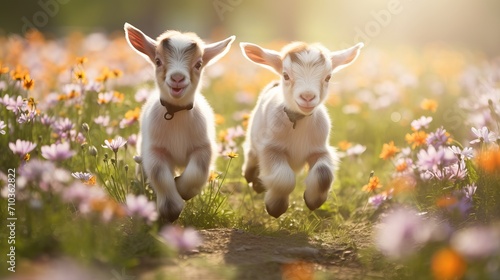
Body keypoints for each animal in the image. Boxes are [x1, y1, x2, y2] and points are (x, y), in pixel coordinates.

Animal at [124, 23, 235, 222]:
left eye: (198, 64)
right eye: (158, 61)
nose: (177, 78)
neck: (176, 113)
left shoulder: (203, 147)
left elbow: (197, 172)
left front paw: (182, 189)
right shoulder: (155, 150)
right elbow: (159, 175)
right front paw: (171, 210)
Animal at [239, 40, 362, 218]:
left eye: (328, 77)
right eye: (286, 75)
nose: (307, 97)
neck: (297, 121)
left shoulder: (320, 149)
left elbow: (324, 174)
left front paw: (313, 201)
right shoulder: (270, 148)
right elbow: (284, 178)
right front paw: (275, 207)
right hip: (254, 138)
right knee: (251, 153)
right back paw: (253, 179)